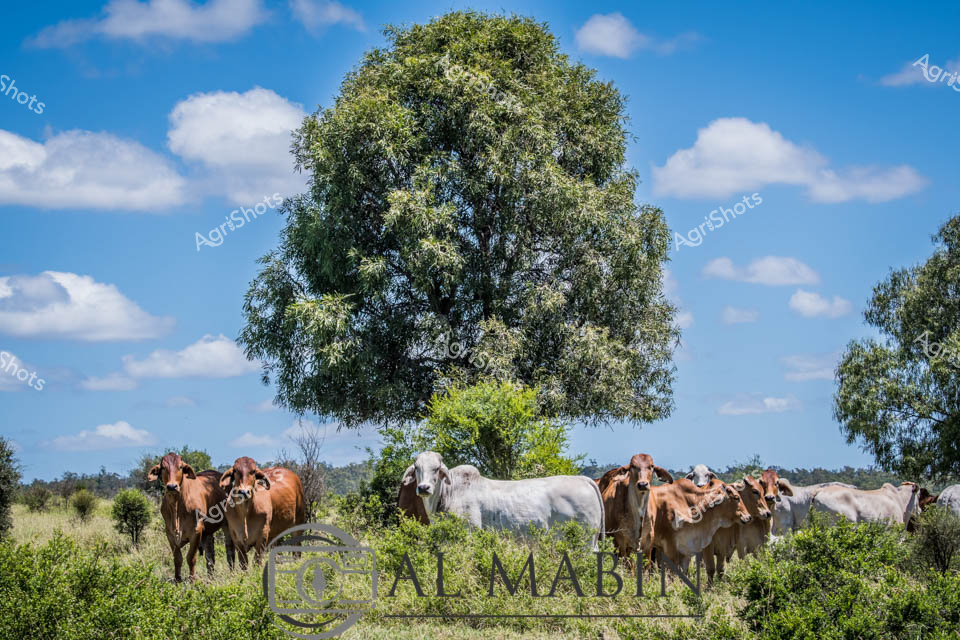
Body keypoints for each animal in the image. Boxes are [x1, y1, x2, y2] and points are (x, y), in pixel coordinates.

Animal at [148, 452, 235, 582]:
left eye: (180, 467)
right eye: (163, 467)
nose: (172, 486)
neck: (177, 506)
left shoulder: (196, 531)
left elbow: (191, 558)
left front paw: (192, 580)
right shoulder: (169, 534)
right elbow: (177, 559)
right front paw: (177, 580)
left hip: (227, 525)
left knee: (230, 551)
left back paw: (232, 573)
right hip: (208, 532)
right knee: (210, 555)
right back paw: (209, 578)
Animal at [403, 451, 605, 549]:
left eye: (437, 468)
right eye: (417, 467)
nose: (423, 488)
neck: (448, 494)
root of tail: (583, 479)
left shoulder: (467, 534)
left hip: (584, 542)